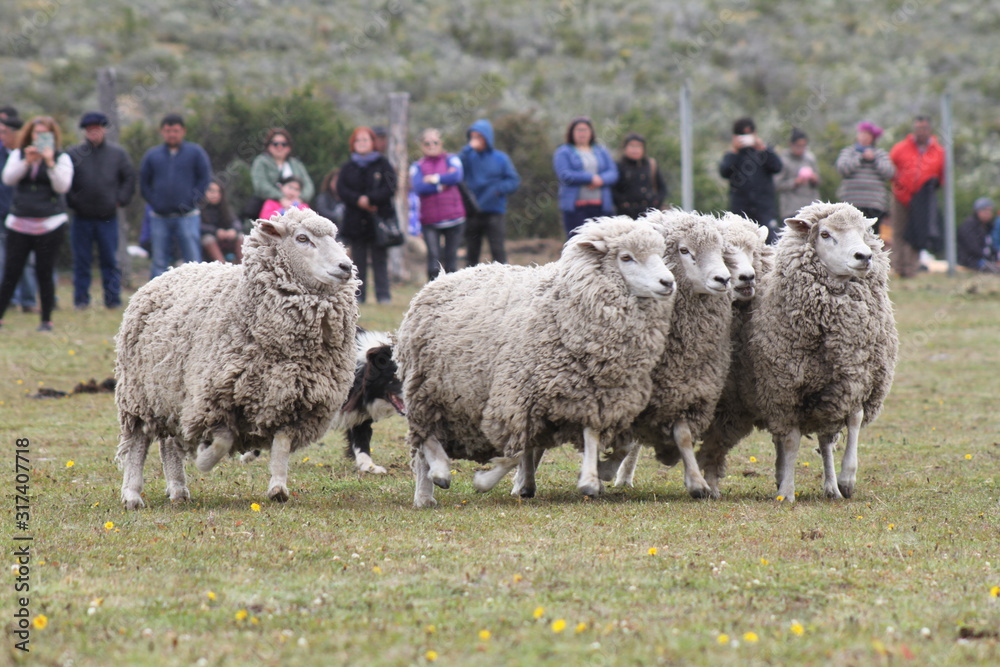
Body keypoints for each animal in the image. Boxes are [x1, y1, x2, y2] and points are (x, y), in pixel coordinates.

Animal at [115, 208, 359, 509]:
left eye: (335, 237)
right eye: (302, 238)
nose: (346, 267)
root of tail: (173, 270)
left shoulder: (293, 401)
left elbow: (281, 446)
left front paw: (278, 489)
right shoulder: (214, 399)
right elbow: (222, 442)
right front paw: (205, 461)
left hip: (171, 392)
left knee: (170, 444)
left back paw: (178, 490)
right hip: (138, 395)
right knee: (137, 444)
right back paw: (132, 494)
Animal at [394, 216, 677, 508]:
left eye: (660, 254)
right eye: (626, 257)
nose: (668, 282)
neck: (564, 308)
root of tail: (442, 277)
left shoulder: (593, 395)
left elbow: (589, 436)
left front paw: (588, 480)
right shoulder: (515, 397)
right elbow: (515, 452)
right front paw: (488, 481)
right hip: (425, 388)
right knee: (424, 441)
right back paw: (429, 488)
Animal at [604, 210, 734, 498]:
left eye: (721, 250)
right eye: (684, 250)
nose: (724, 279)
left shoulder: (687, 391)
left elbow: (683, 436)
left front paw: (696, 482)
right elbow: (623, 439)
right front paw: (604, 466)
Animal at [748, 202, 898, 502]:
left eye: (863, 232)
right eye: (825, 234)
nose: (864, 256)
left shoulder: (855, 379)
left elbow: (854, 421)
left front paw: (847, 478)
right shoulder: (786, 391)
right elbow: (791, 441)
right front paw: (787, 492)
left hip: (827, 399)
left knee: (826, 440)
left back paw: (832, 487)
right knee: (786, 439)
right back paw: (783, 477)